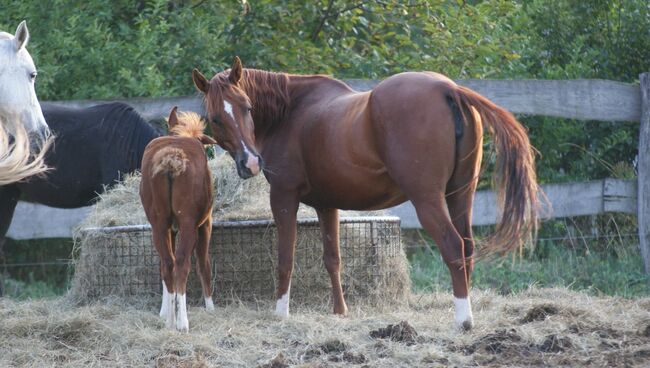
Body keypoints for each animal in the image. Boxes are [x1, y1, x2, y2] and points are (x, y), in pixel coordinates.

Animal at [139, 106, 215, 330]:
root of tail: (172, 157)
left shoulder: (169, 228)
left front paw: (164, 310)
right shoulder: (205, 224)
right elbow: (203, 263)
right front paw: (210, 307)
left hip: (159, 223)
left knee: (167, 263)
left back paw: (171, 320)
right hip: (189, 223)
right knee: (182, 263)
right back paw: (182, 322)